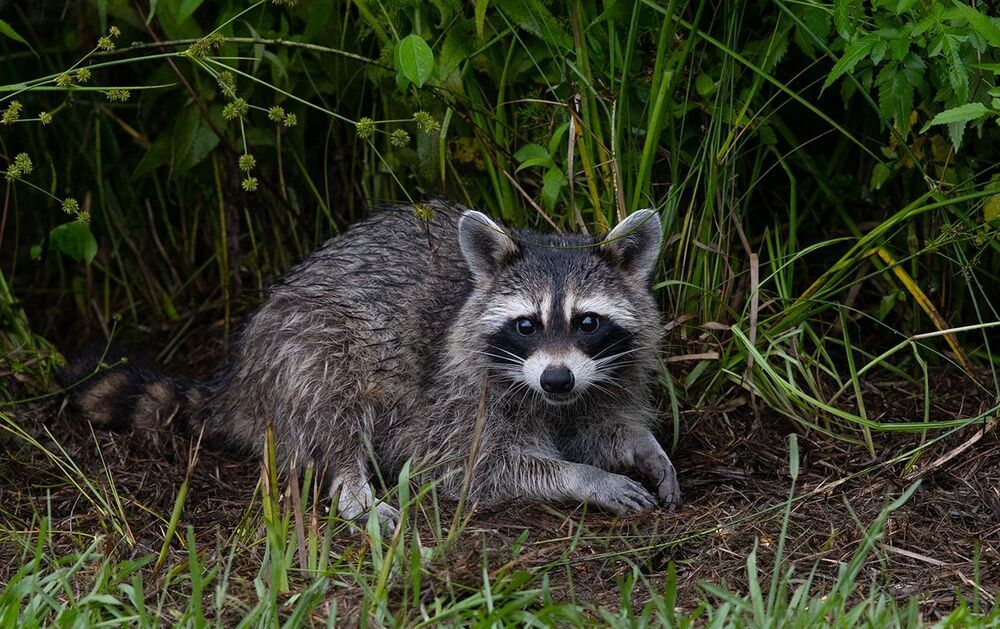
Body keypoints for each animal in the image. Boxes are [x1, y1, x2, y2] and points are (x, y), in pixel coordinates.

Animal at [64, 200, 680, 526]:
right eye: (527, 325)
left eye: (587, 322)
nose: (556, 378)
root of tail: (241, 376)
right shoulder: (459, 397)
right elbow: (475, 466)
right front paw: (586, 478)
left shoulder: (604, 377)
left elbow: (605, 424)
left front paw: (642, 448)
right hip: (300, 342)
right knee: (330, 395)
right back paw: (355, 489)